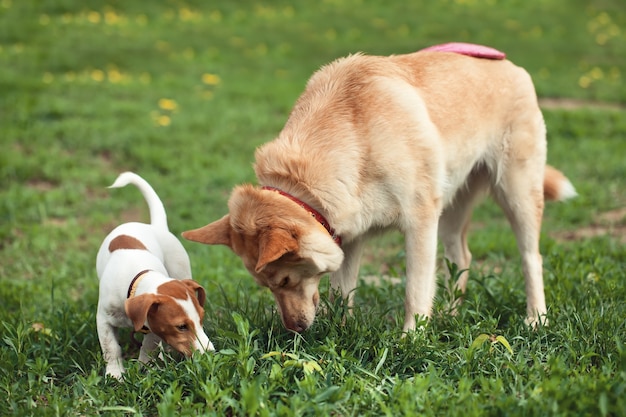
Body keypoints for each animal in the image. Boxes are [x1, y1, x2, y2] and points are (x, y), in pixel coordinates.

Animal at [96, 171, 213, 378]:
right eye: (181, 327)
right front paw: (115, 373)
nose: (211, 353)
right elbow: (111, 348)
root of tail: (156, 227)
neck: (138, 279)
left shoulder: (153, 327)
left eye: (201, 319)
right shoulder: (103, 320)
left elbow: (148, 348)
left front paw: (145, 369)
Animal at [182, 43, 576, 332]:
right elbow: (342, 291)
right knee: (461, 258)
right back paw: (450, 316)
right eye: (268, 286)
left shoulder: (420, 222)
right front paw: (340, 332)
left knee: (531, 258)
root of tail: (510, 65)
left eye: (284, 280)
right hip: (452, 206)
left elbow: (415, 289)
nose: (295, 329)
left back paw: (535, 319)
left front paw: (412, 339)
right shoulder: (348, 233)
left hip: (516, 192)